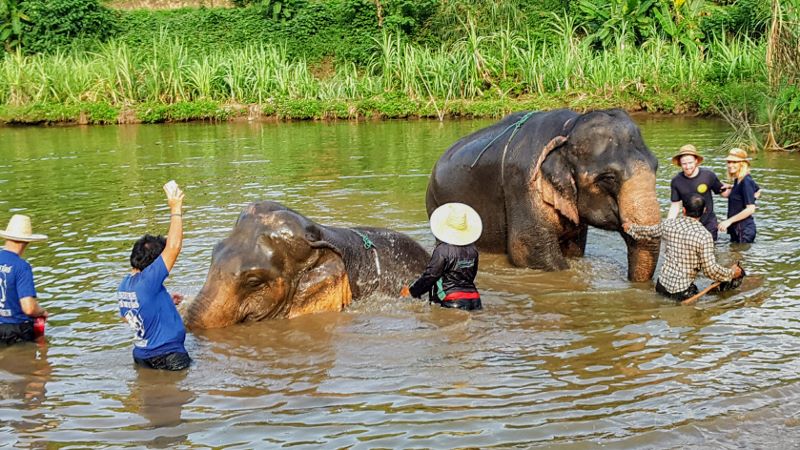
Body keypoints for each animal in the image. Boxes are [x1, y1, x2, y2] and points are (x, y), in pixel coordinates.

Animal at [428, 108, 660, 282]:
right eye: (608, 178)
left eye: (656, 166)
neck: (569, 127)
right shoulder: (523, 183)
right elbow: (527, 249)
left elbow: (574, 249)